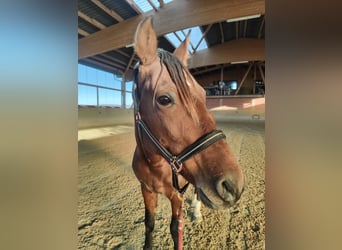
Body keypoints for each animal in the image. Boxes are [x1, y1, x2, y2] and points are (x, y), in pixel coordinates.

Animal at [131, 16, 243, 249]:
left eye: (203, 93)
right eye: (164, 99)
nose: (233, 185)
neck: (155, 164)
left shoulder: (177, 196)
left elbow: (176, 230)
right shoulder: (146, 190)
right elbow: (149, 224)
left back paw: (197, 212)